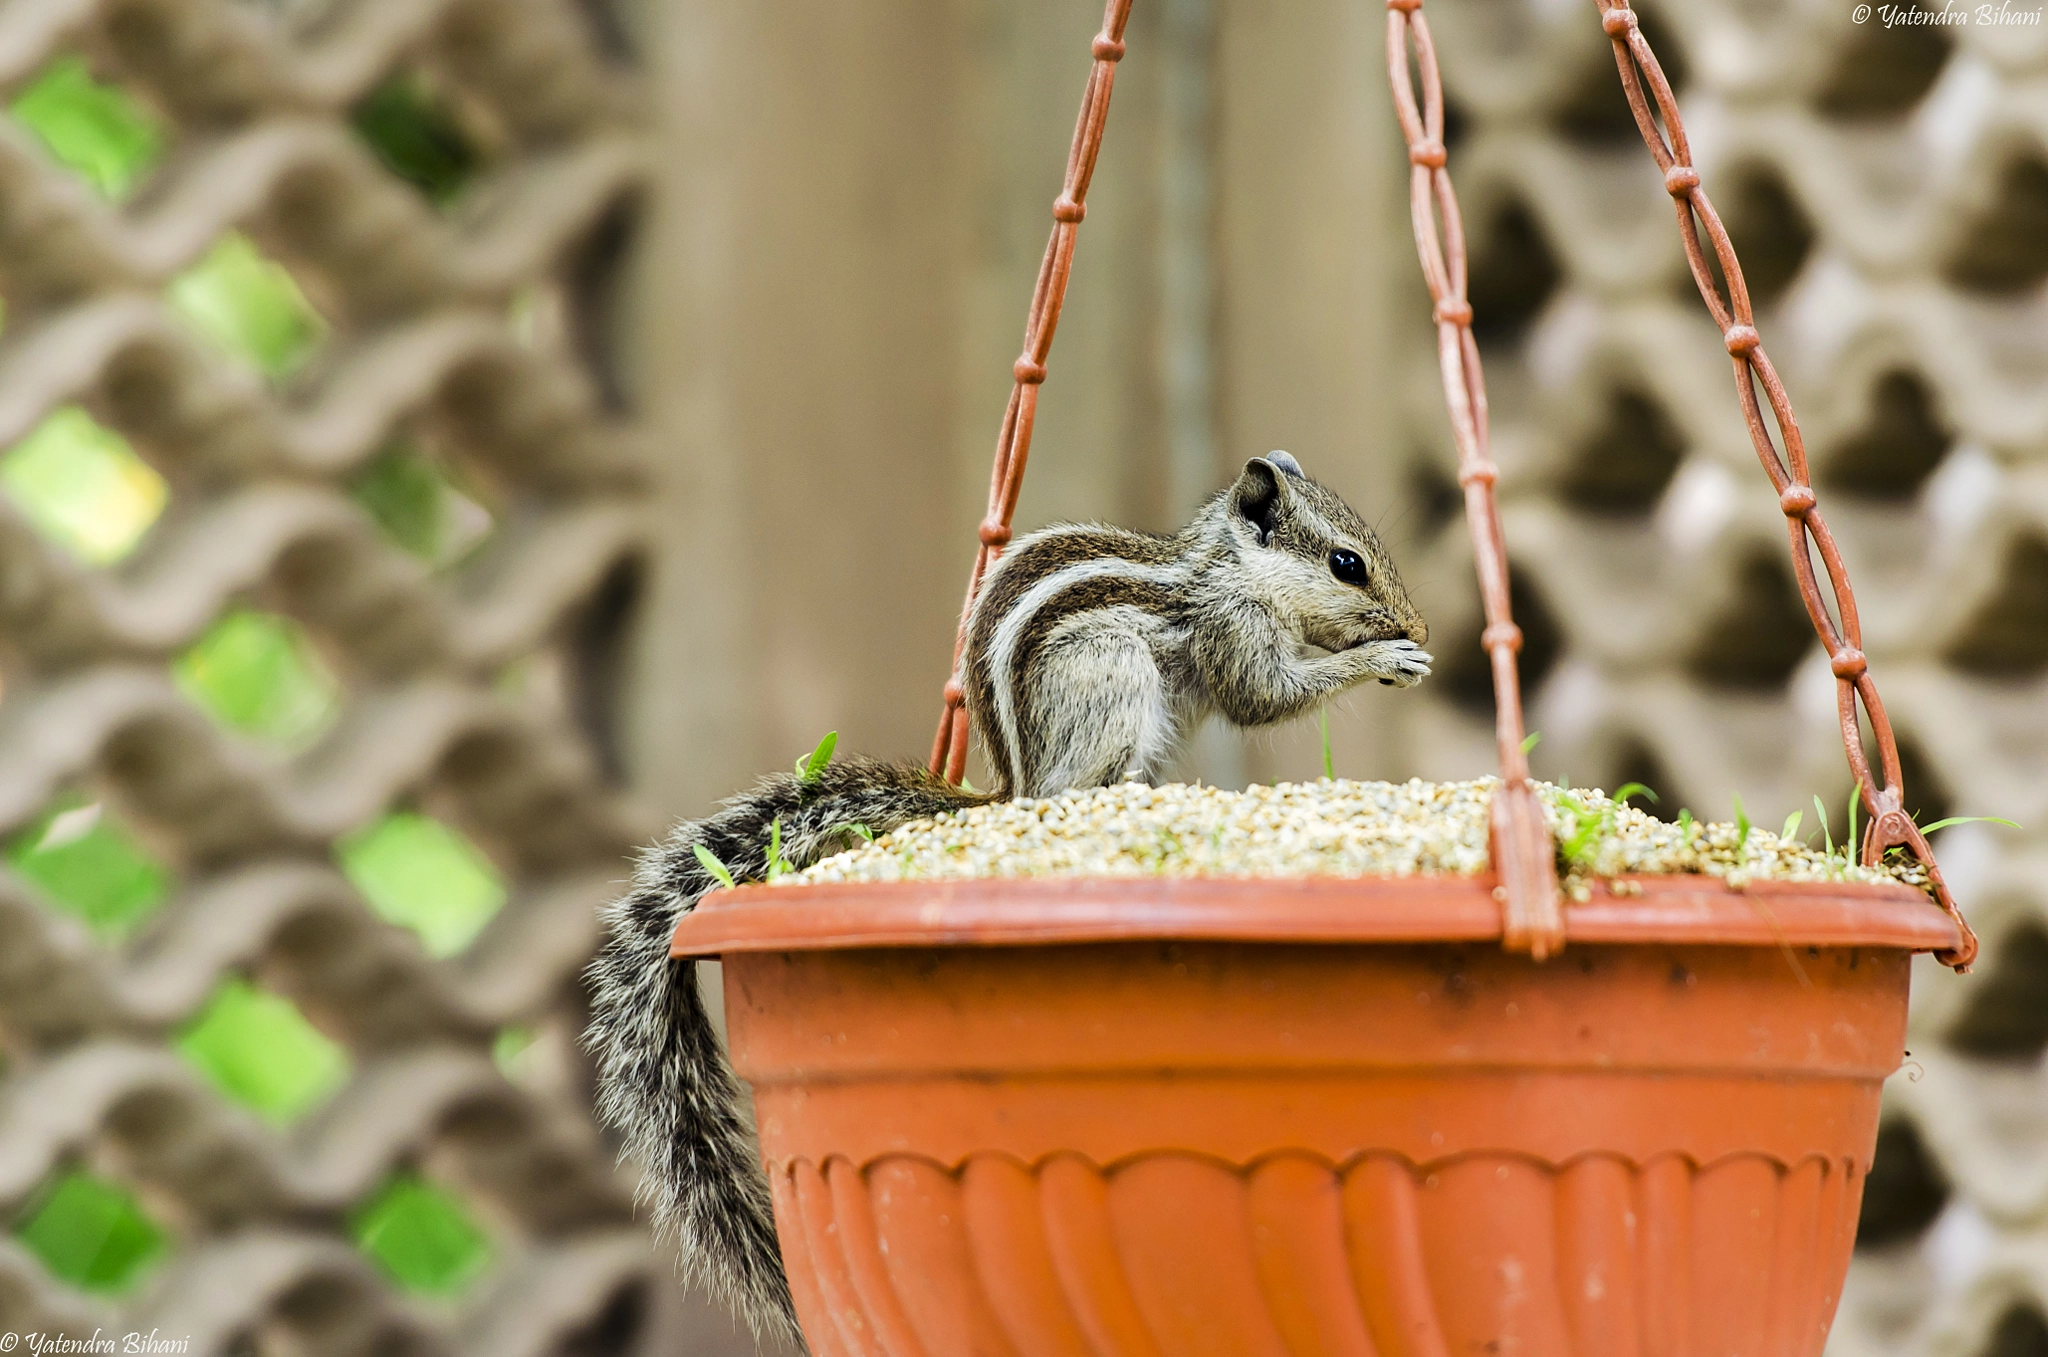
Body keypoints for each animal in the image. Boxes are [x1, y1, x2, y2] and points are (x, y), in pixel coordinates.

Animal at [583, 453, 1431, 1346]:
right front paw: (1385, 656)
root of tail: (1006, 789)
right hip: (1111, 675)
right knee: (1078, 785)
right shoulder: (1232, 631)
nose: (1419, 623)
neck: (1225, 567)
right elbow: (1266, 696)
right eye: (1347, 563)